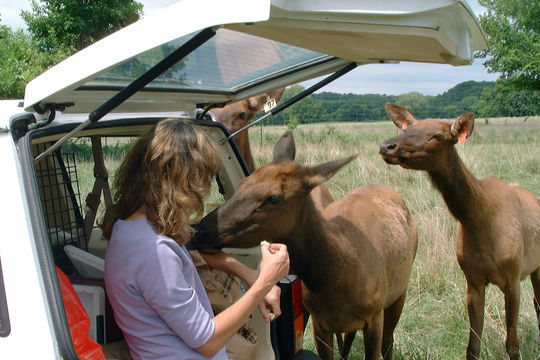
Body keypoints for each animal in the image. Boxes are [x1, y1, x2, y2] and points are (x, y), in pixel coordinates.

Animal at [192, 131, 420, 358]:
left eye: (273, 197)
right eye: (241, 184)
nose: (200, 231)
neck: (339, 279)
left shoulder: (374, 315)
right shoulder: (320, 322)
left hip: (399, 291)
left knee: (387, 342)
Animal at [378, 102, 540, 358]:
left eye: (438, 135)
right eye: (407, 128)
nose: (387, 145)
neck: (482, 224)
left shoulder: (514, 277)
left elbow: (512, 345)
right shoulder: (472, 279)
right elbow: (472, 346)